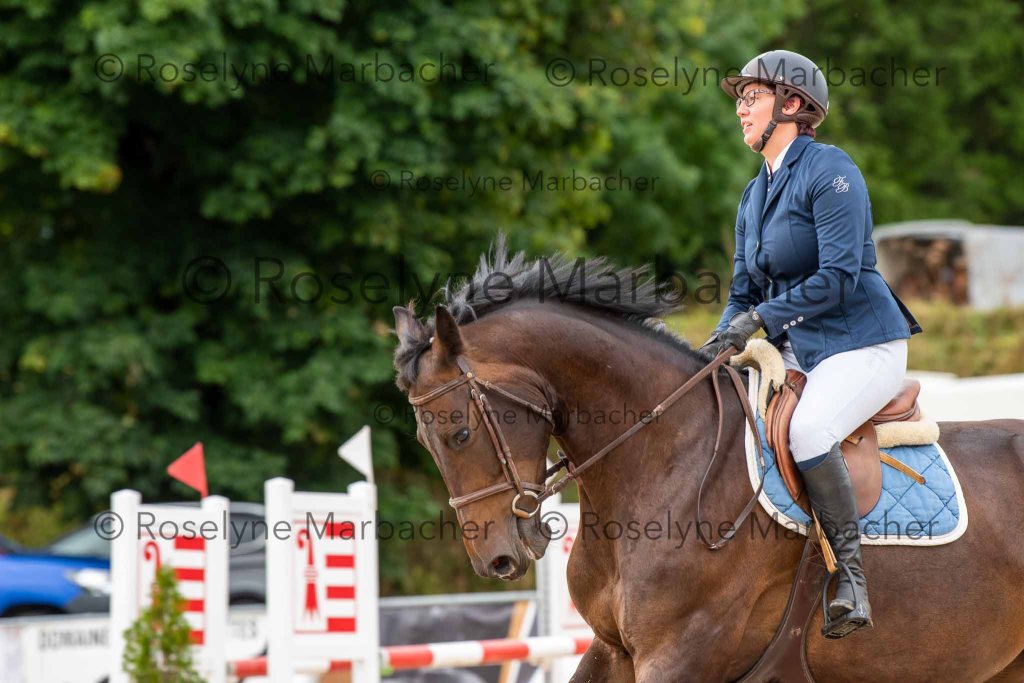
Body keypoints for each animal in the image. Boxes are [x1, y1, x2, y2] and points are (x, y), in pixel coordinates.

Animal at [391, 239, 1024, 682]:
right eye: (426, 440)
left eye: (461, 432)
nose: (496, 560)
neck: (661, 460)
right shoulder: (614, 651)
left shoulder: (683, 654)